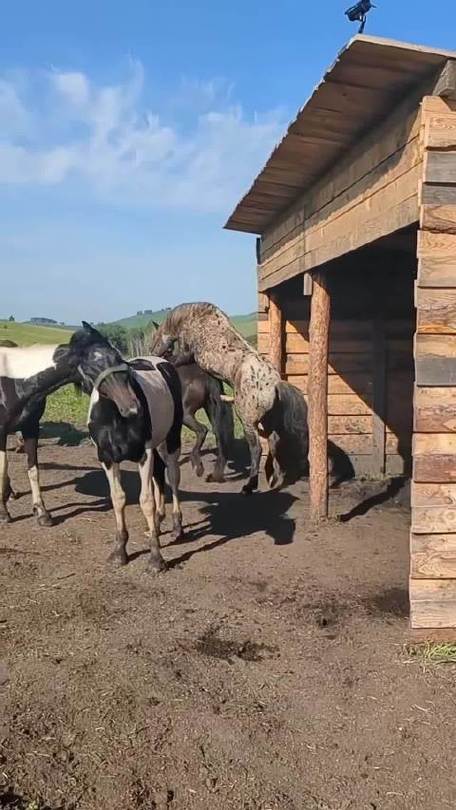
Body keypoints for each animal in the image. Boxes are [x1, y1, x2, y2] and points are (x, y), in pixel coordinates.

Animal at [149, 302, 309, 495]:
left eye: (155, 339)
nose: (150, 352)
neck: (194, 318)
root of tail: (275, 384)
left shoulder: (186, 354)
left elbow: (175, 360)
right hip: (266, 421)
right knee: (273, 442)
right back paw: (272, 478)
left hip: (247, 420)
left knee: (256, 449)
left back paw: (249, 486)